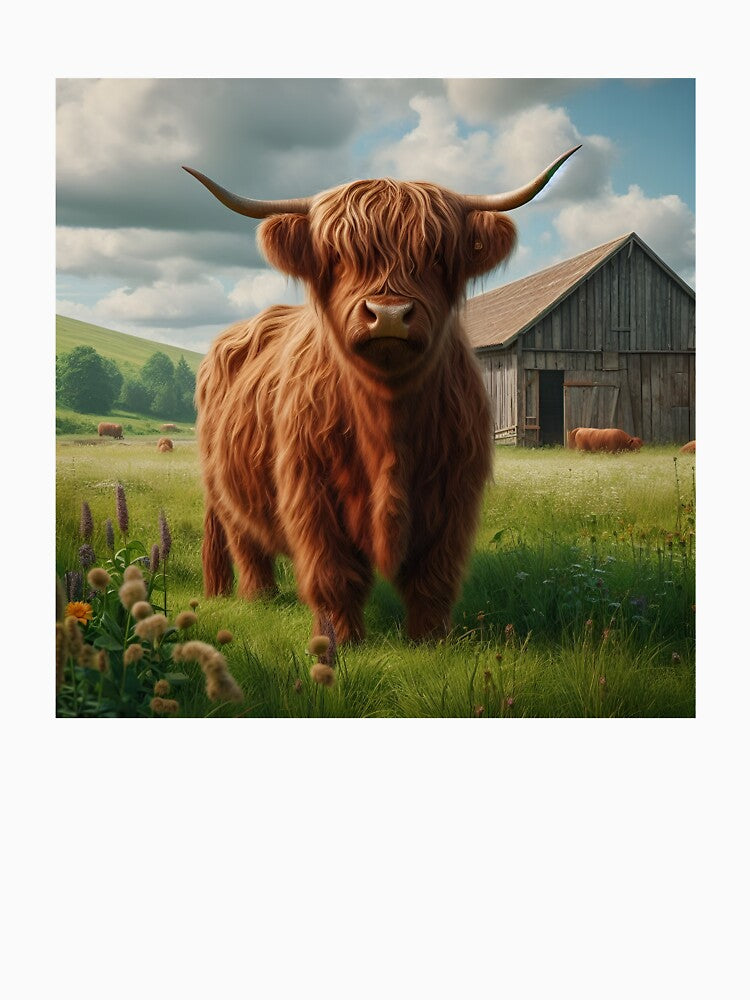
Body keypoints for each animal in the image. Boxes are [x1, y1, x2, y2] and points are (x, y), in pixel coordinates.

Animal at [185, 145, 580, 645]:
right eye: (337, 256)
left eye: (436, 256)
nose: (389, 314)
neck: (387, 422)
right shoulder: (311, 490)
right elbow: (333, 574)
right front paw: (339, 642)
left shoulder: (455, 491)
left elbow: (434, 576)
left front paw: (430, 641)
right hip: (223, 490)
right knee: (246, 545)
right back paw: (259, 599)